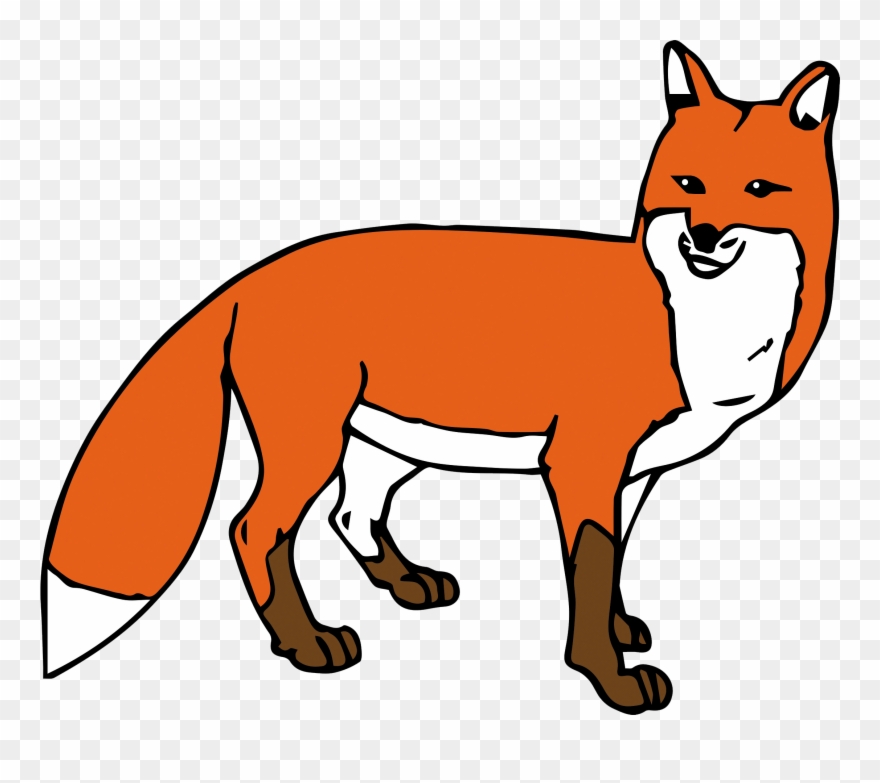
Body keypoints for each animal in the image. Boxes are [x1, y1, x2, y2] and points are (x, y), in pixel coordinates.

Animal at [41, 42, 839, 714]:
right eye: (689, 183)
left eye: (760, 189)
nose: (703, 235)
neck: (697, 326)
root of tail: (254, 274)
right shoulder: (582, 461)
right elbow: (588, 571)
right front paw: (606, 676)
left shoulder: (636, 472)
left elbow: (611, 566)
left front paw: (620, 629)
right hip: (312, 444)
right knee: (255, 528)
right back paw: (307, 643)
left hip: (387, 446)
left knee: (350, 514)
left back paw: (406, 583)